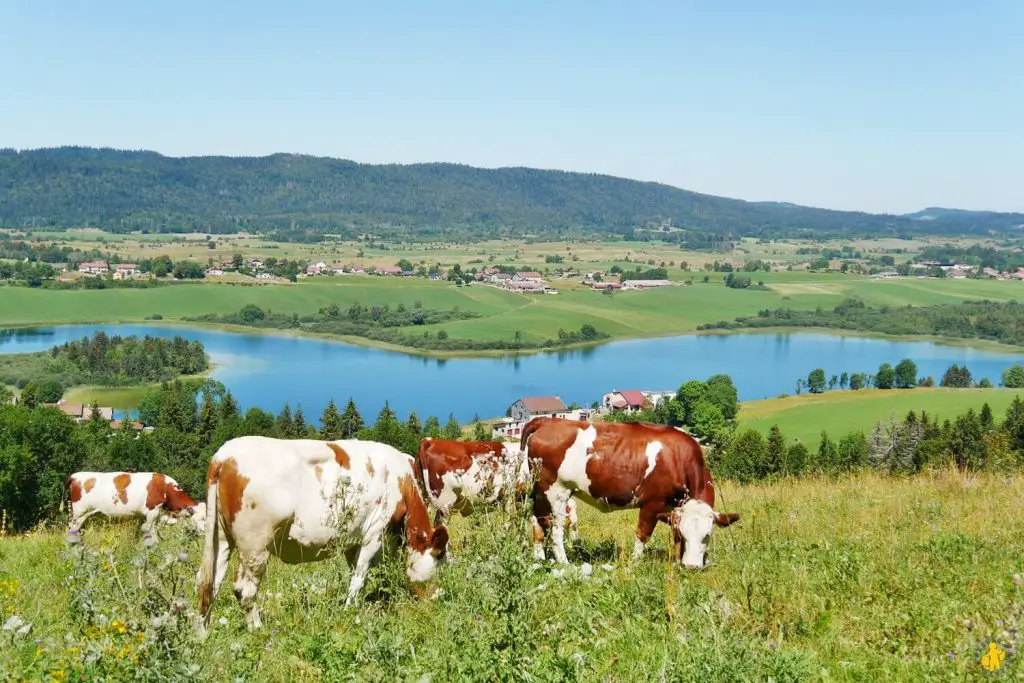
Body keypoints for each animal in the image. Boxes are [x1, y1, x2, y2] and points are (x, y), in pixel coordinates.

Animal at [67, 471, 204, 544]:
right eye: (202, 519)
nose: (204, 532)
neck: (165, 488)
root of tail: (75, 476)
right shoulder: (152, 512)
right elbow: (151, 532)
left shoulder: (159, 515)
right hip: (79, 514)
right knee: (72, 530)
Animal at [195, 436, 448, 634]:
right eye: (440, 560)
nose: (438, 598)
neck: (403, 483)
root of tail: (225, 455)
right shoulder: (374, 532)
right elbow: (359, 578)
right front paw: (350, 612)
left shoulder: (353, 543)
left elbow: (358, 575)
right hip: (255, 544)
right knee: (244, 588)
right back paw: (258, 630)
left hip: (220, 538)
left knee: (207, 583)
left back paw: (201, 636)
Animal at [520, 419, 737, 569]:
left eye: (707, 535)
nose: (691, 566)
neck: (677, 458)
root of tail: (547, 421)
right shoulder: (652, 503)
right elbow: (643, 535)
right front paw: (635, 563)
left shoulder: (675, 507)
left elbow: (674, 535)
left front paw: (676, 562)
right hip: (556, 492)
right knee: (555, 530)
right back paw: (565, 563)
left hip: (539, 492)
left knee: (537, 523)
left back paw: (539, 560)